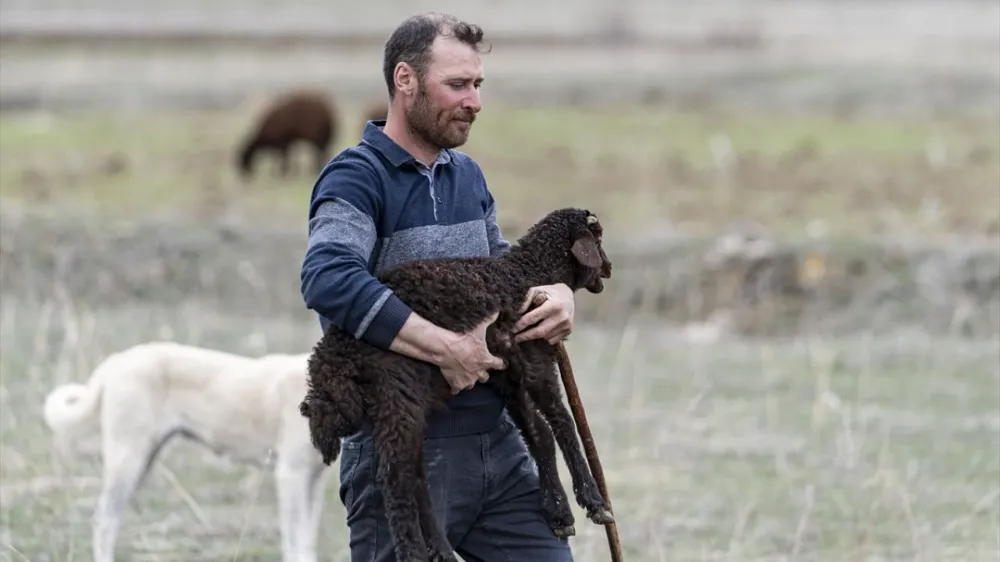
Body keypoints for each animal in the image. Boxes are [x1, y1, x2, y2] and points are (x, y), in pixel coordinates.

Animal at [42, 340, 328, 560]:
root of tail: (116, 362)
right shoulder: (291, 474)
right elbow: (295, 542)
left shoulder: (312, 481)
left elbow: (307, 540)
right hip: (127, 459)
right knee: (104, 522)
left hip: (143, 459)